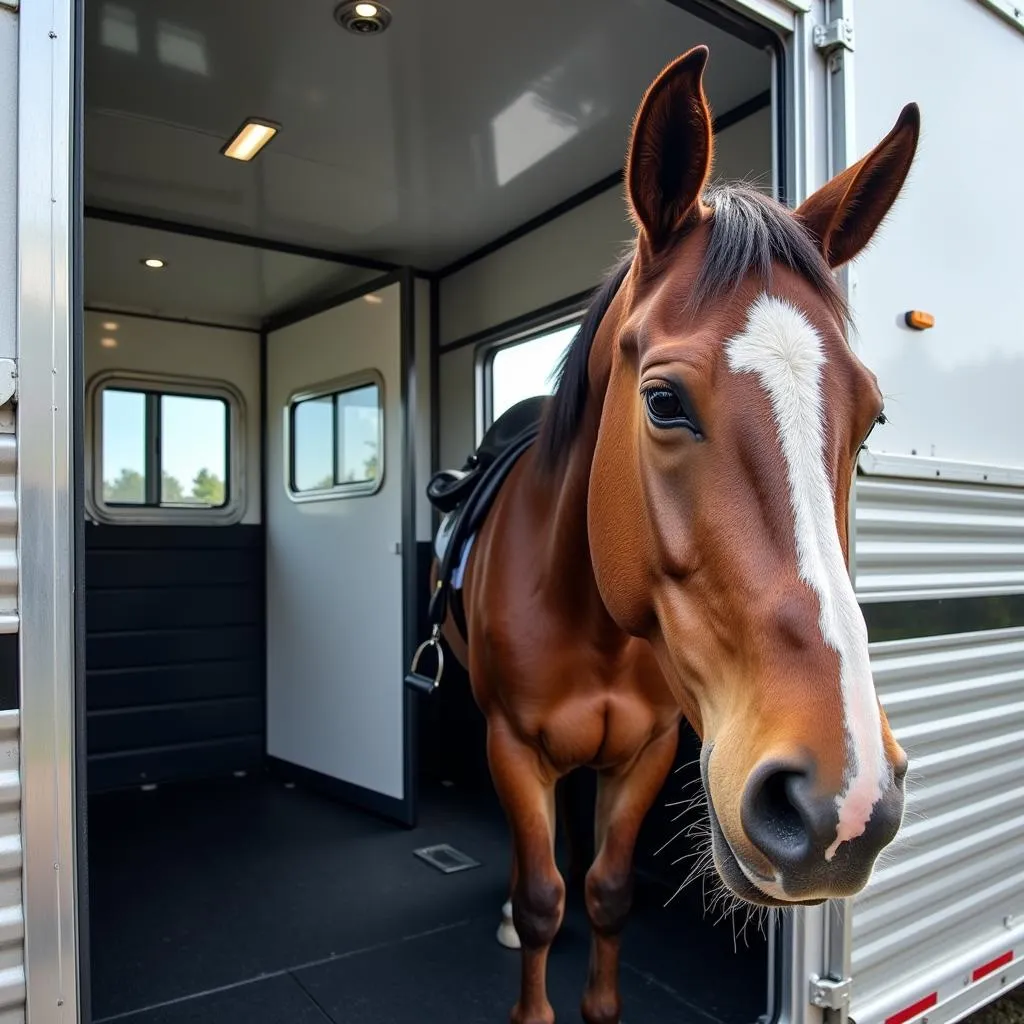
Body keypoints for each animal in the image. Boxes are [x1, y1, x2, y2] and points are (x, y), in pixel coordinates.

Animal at [432, 46, 921, 1024]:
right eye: (662, 401)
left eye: (873, 419)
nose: (844, 804)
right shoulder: (513, 745)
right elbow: (542, 898)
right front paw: (526, 946)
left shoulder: (648, 753)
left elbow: (607, 893)